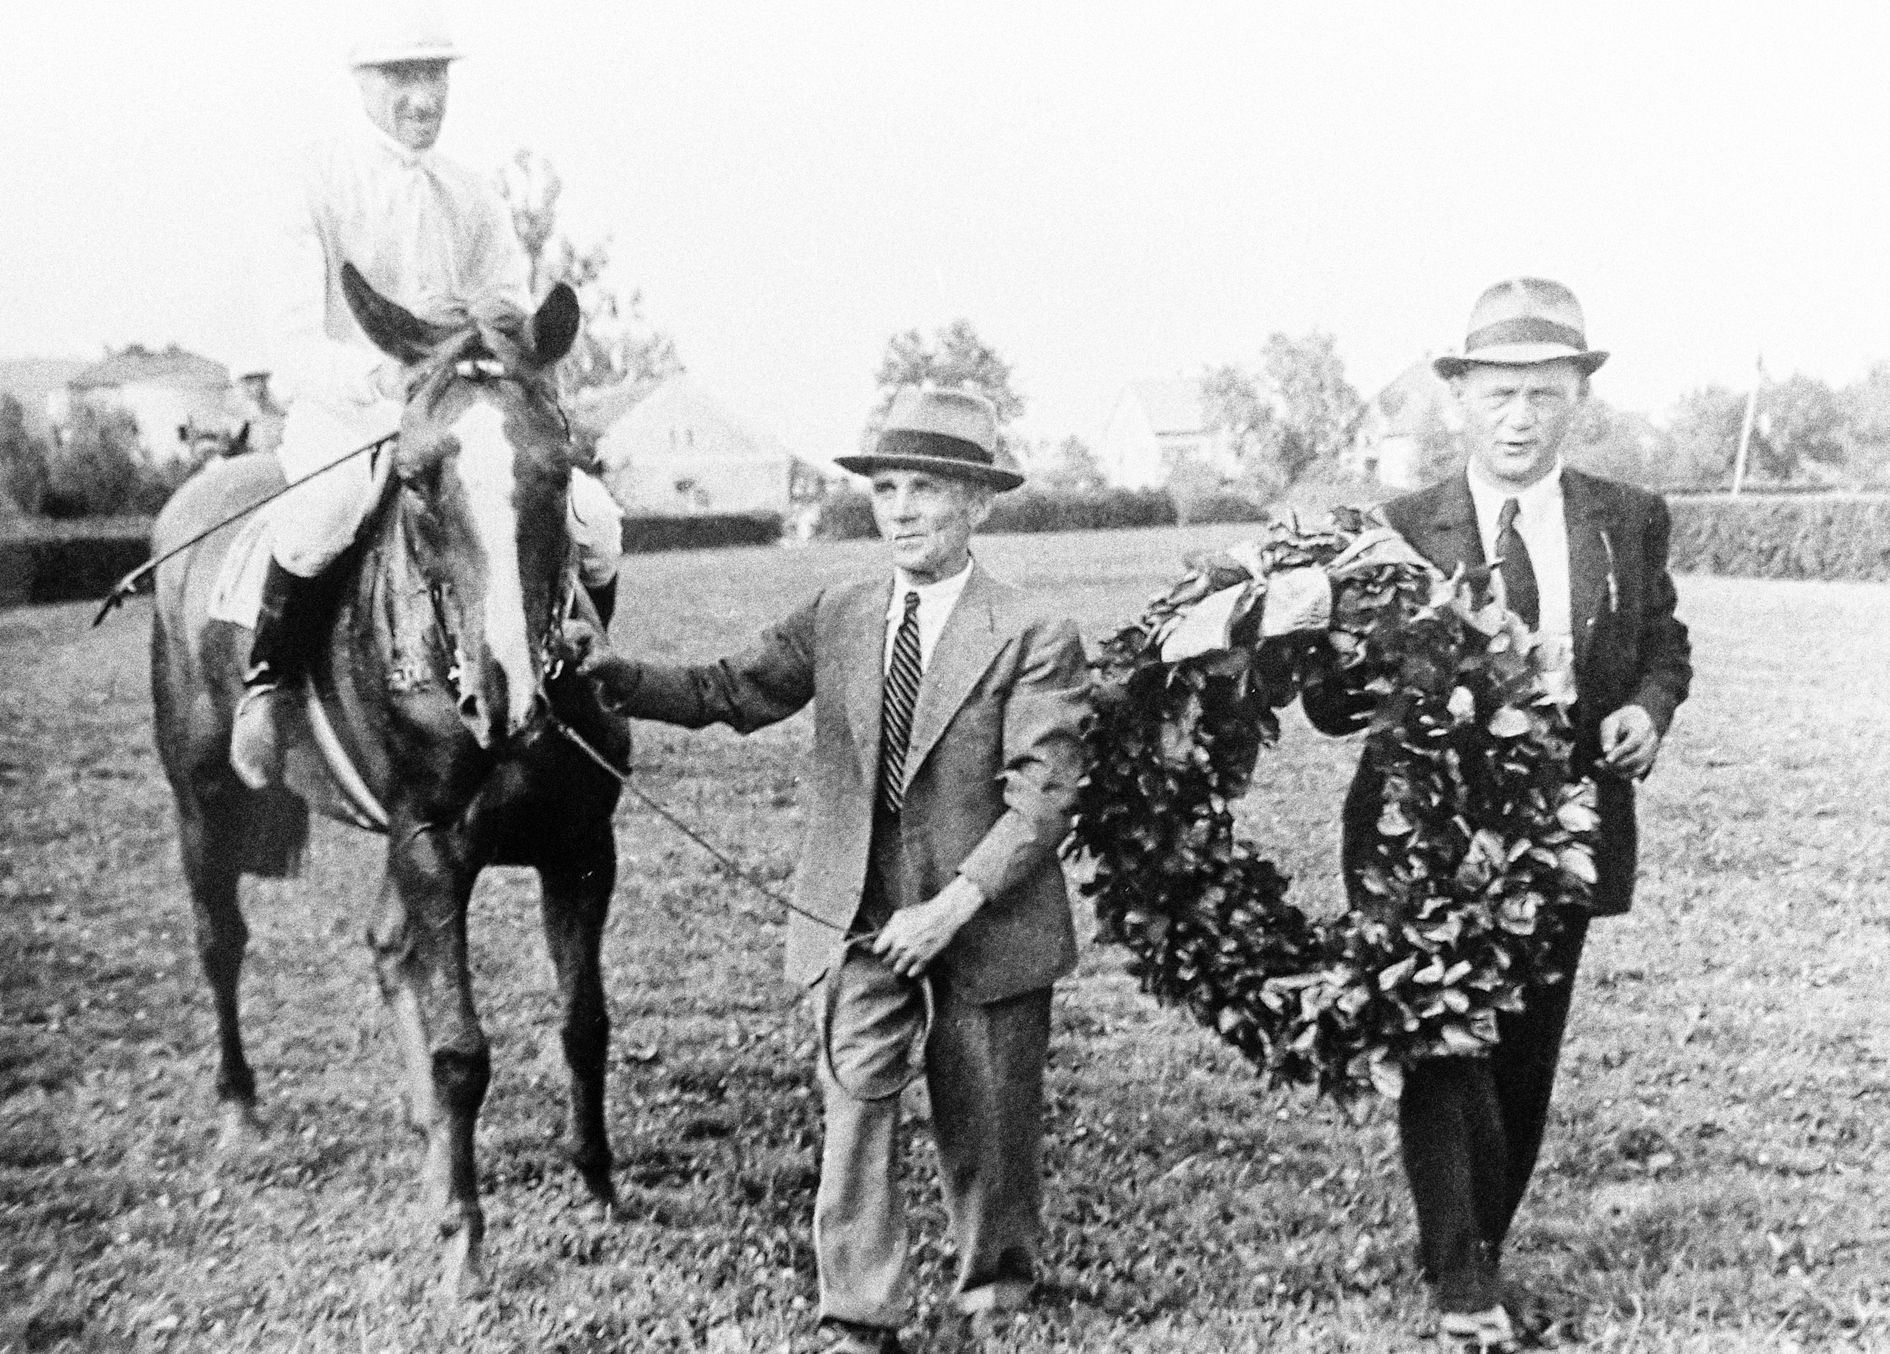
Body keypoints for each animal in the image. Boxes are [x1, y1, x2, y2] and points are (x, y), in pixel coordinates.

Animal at [147, 264, 631, 1293]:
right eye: (412, 477)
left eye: (562, 466)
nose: (508, 692)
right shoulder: (434, 847)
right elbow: (461, 1052)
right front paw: (464, 1240)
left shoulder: (581, 848)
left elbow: (584, 1022)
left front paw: (598, 1187)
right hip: (202, 799)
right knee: (221, 941)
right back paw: (241, 1111)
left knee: (384, 947)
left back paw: (423, 1140)